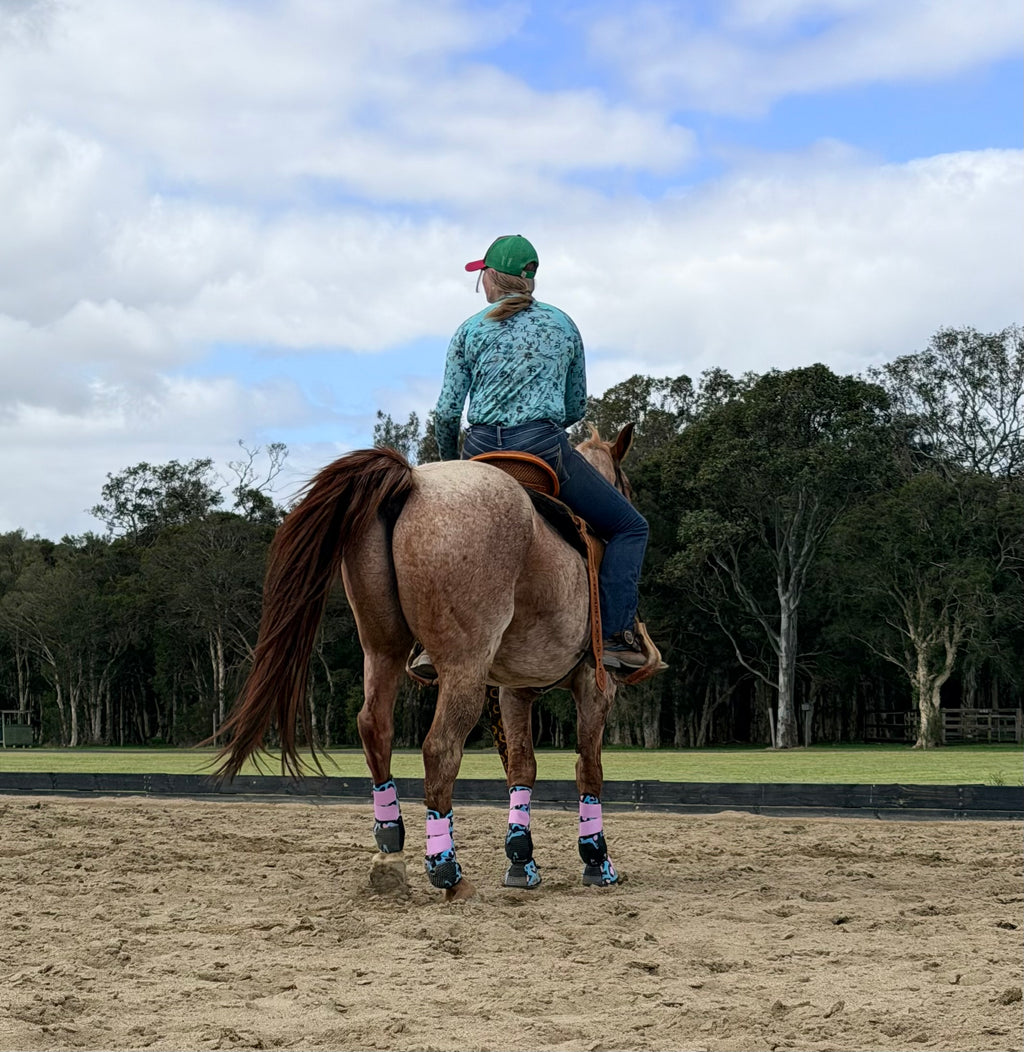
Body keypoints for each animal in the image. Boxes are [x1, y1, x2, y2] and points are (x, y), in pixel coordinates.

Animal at [214, 424, 661, 900]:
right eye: (627, 485)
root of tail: (413, 482)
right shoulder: (594, 686)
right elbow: (588, 769)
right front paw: (596, 861)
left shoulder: (513, 689)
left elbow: (521, 767)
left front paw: (521, 862)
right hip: (465, 664)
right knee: (440, 747)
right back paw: (447, 871)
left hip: (382, 646)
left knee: (375, 727)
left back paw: (390, 849)